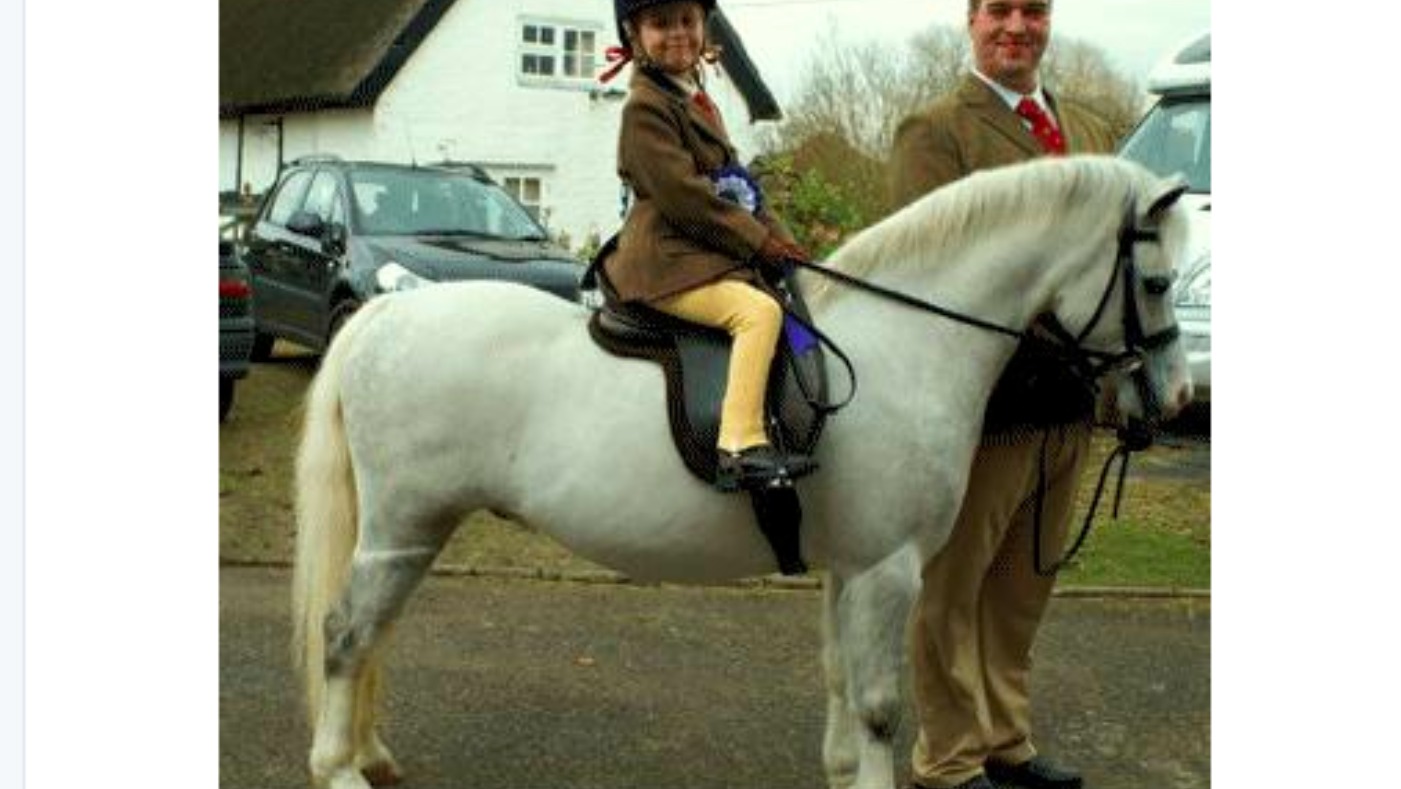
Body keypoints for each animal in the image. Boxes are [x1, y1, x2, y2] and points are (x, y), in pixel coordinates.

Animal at [290, 154, 1195, 789]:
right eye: (1154, 281)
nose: (1177, 395)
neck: (902, 343)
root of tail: (387, 310)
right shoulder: (889, 569)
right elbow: (879, 704)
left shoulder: (850, 568)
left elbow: (840, 680)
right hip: (402, 531)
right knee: (344, 634)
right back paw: (338, 767)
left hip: (415, 533)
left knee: (371, 635)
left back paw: (371, 753)